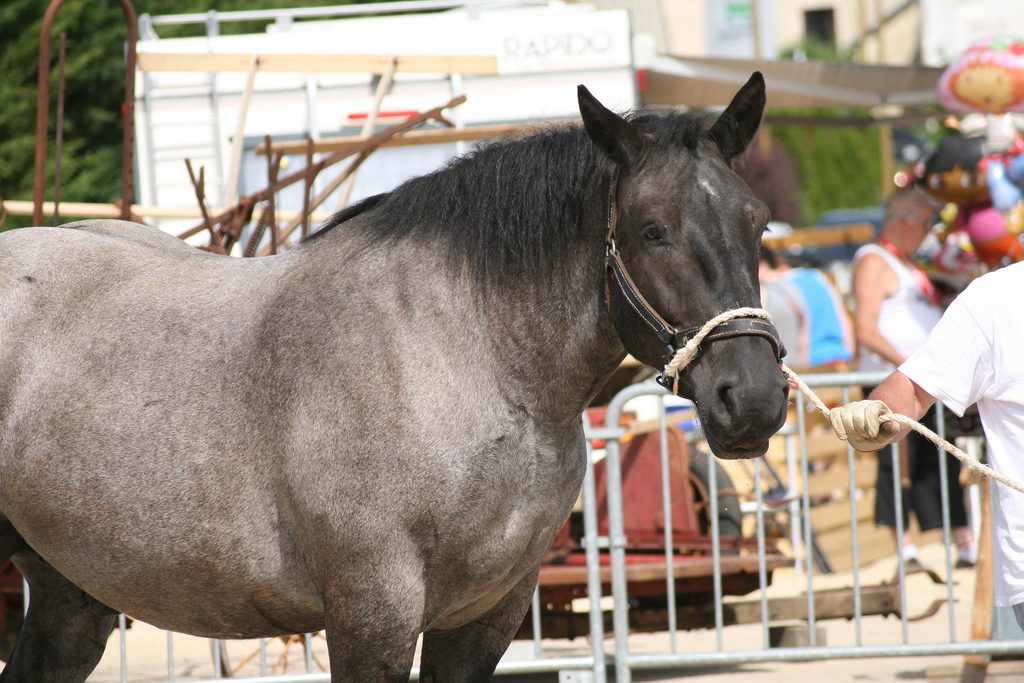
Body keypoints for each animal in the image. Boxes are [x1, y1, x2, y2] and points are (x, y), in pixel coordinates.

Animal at [0, 76, 786, 683]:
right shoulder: (371, 613)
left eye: (760, 222)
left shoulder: (483, 620)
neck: (459, 358)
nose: (752, 398)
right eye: (653, 228)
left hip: (71, 595)